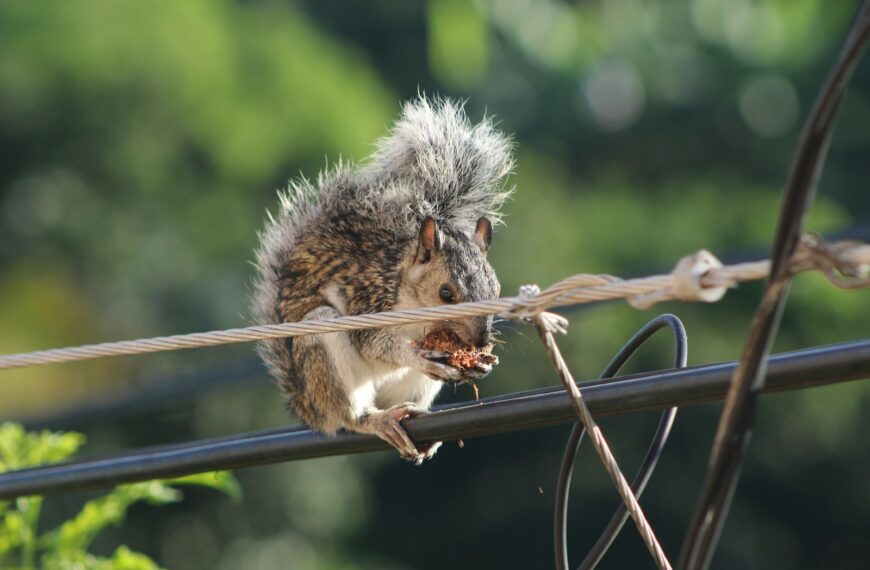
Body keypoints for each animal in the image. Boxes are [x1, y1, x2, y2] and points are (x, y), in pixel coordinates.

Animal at [252, 97, 514, 463]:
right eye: (446, 293)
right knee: (351, 416)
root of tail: (310, 410)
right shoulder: (369, 299)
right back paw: (376, 420)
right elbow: (375, 344)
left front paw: (484, 364)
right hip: (322, 345)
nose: (480, 341)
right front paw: (416, 355)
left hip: (416, 387)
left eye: (497, 290)